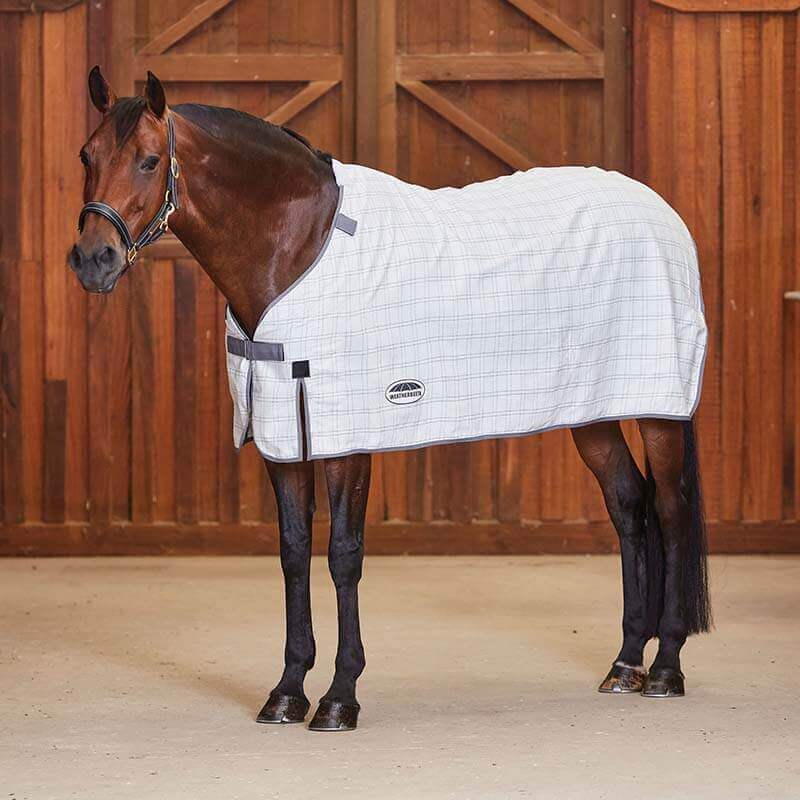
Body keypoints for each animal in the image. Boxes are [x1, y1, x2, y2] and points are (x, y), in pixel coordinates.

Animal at [69, 67, 711, 732]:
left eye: (149, 161)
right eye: (87, 155)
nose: (93, 260)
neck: (297, 250)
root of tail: (662, 212)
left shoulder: (348, 438)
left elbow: (342, 555)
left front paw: (338, 697)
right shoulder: (283, 435)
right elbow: (293, 553)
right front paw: (287, 691)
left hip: (659, 411)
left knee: (669, 508)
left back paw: (665, 669)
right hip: (592, 413)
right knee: (628, 506)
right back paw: (626, 664)